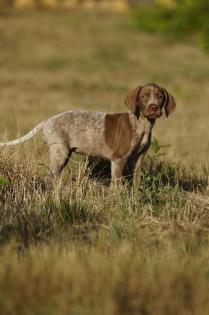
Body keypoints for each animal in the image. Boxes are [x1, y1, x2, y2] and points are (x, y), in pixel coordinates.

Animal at [0, 84, 176, 188]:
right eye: (144, 96)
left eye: (160, 96)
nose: (153, 107)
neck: (142, 124)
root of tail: (47, 121)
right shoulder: (118, 159)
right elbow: (117, 187)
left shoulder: (138, 160)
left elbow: (135, 184)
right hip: (59, 153)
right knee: (51, 179)